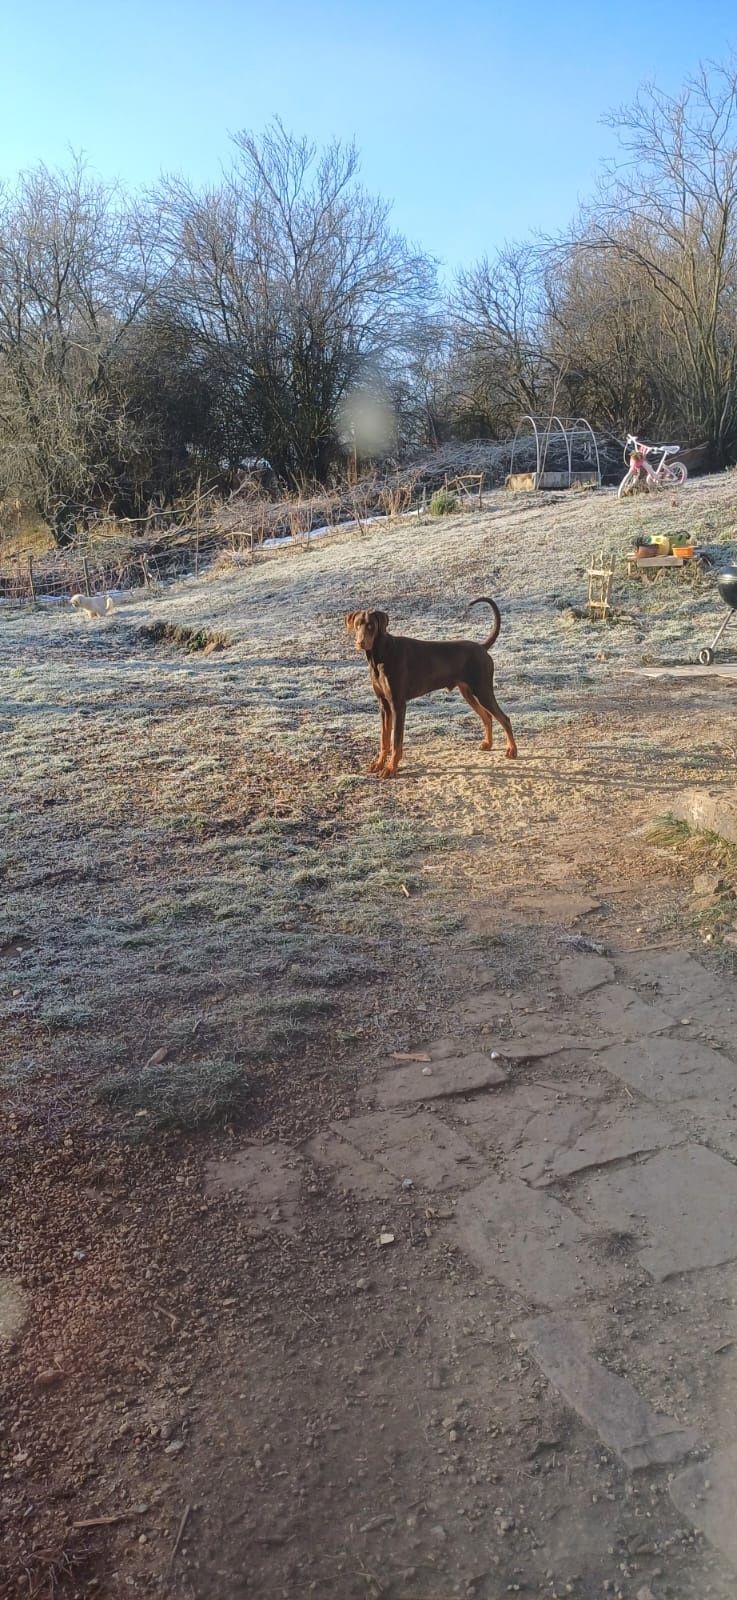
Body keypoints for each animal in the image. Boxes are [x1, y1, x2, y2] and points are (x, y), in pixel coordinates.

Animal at [345, 598, 517, 777]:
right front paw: (379, 764)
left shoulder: (398, 705)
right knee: (487, 717)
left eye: (371, 626)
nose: (360, 642)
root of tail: (482, 647)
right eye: (357, 624)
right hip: (468, 693)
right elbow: (384, 739)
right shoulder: (384, 705)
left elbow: (396, 741)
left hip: (483, 690)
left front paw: (391, 768)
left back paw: (512, 750)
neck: (381, 655)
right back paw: (488, 744)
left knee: (504, 718)